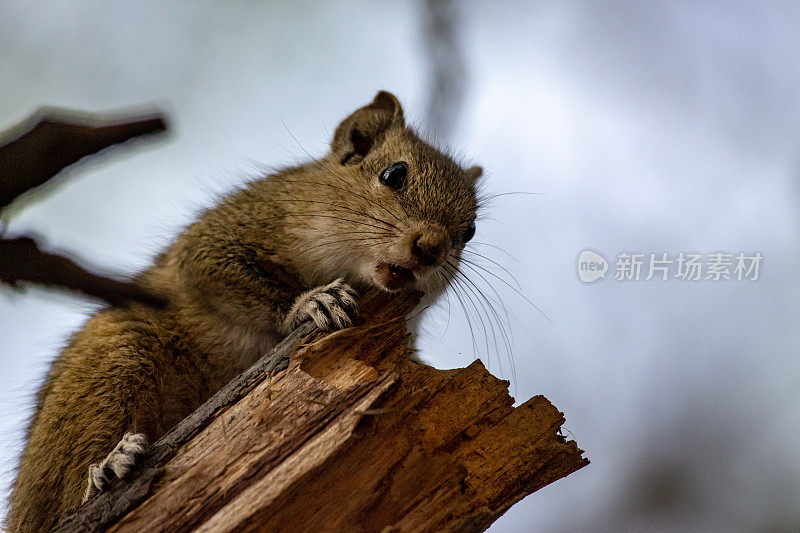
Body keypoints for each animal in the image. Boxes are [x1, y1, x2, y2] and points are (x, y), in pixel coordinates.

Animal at [6, 89, 482, 528]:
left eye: (470, 231)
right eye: (394, 174)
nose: (431, 249)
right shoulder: (225, 235)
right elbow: (220, 273)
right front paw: (312, 303)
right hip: (110, 366)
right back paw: (106, 469)